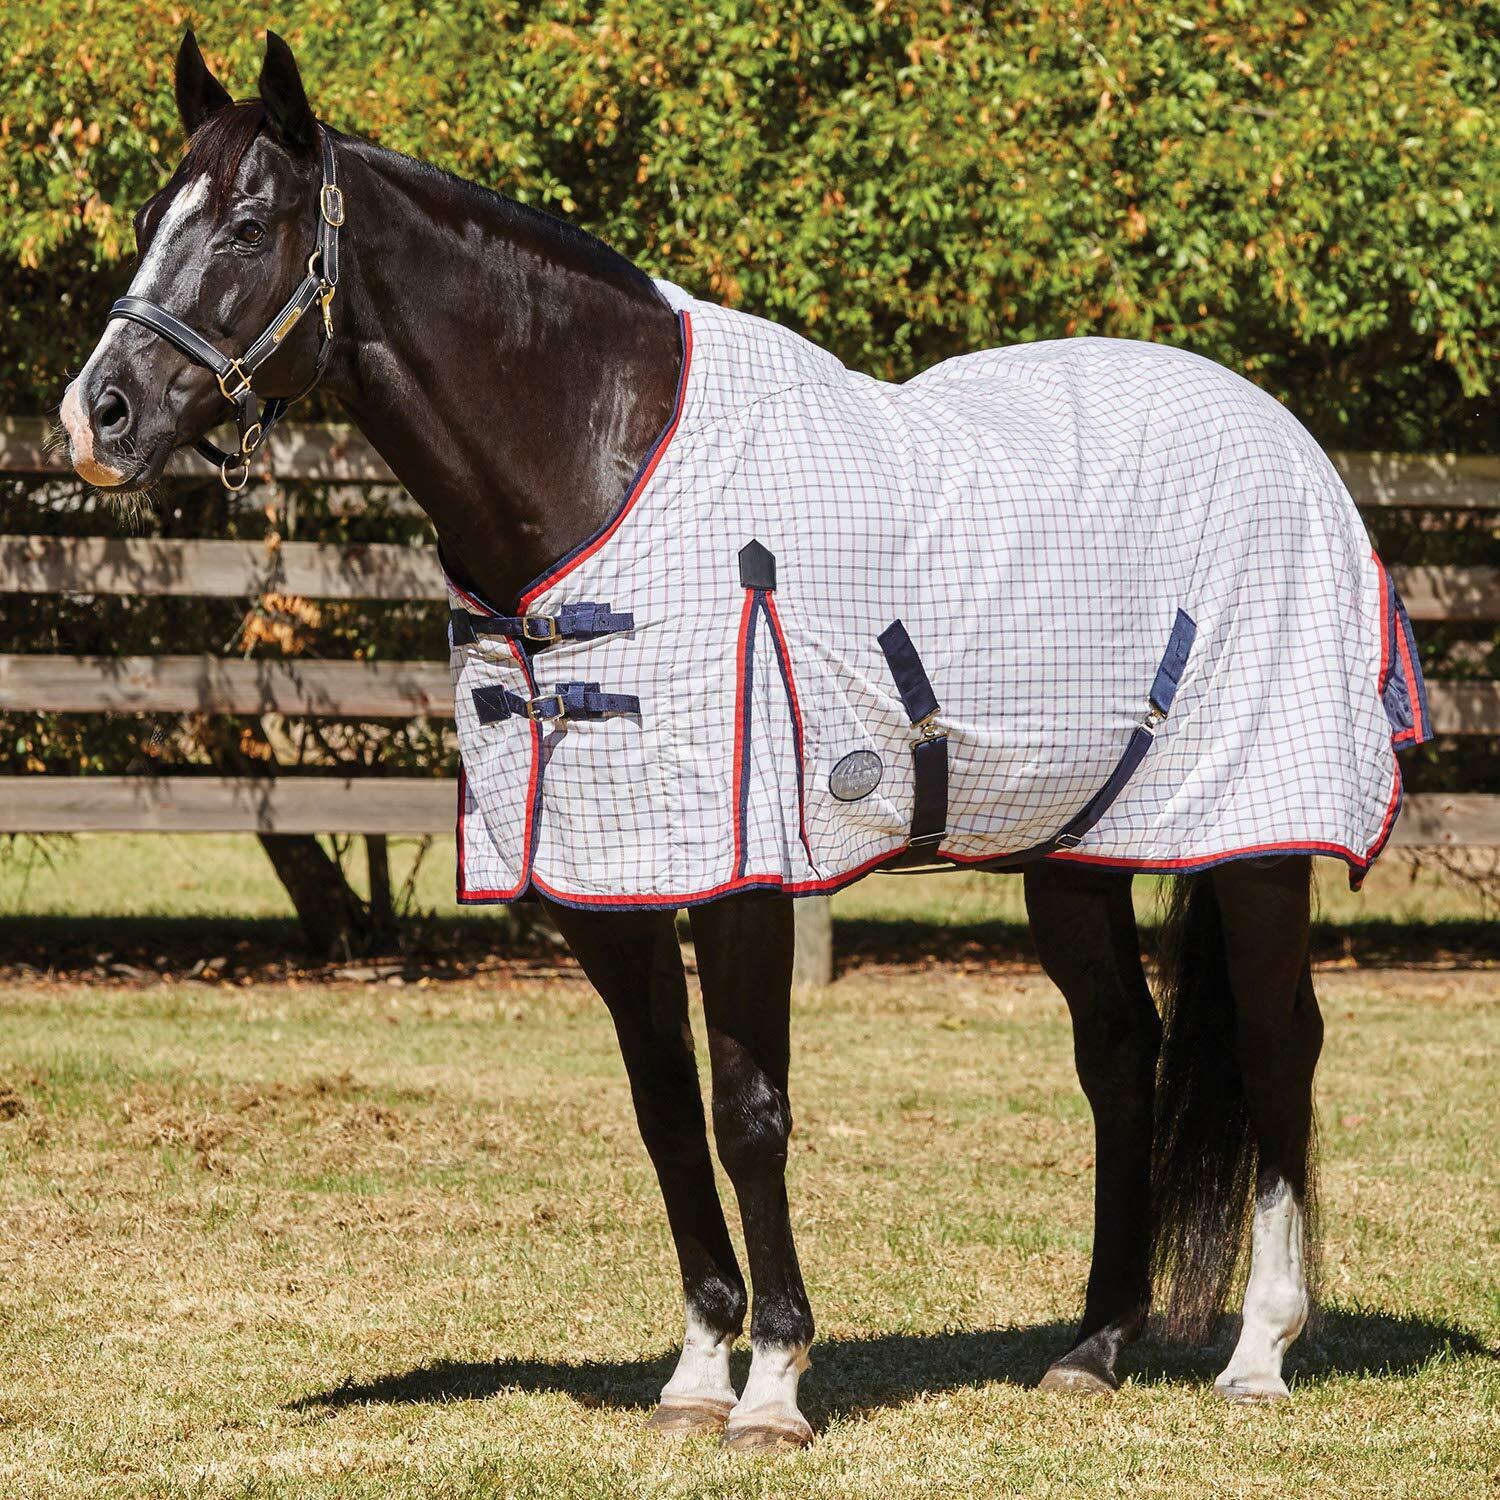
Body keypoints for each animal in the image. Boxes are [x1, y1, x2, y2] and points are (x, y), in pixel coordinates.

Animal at [59, 31, 1424, 1452]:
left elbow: (748, 1113)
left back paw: (1260, 1350)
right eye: (150, 219)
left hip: (1256, 838)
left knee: (1277, 1047)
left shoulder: (746, 874)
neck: (599, 464)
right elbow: (665, 1113)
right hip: (1071, 850)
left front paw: (772, 1384)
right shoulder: (608, 878)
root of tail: (1290, 443)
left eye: (248, 226)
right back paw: (1093, 1347)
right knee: (1119, 1055)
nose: (94, 418)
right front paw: (695, 1374)